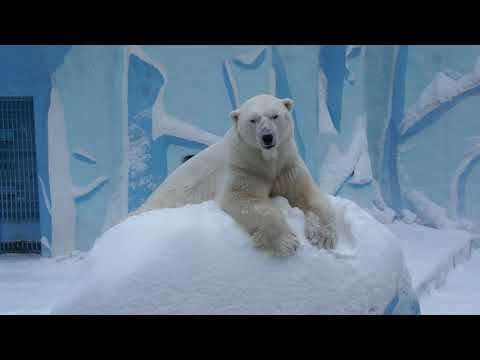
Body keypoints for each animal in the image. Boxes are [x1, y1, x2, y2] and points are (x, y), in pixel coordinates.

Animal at [133, 93, 338, 256]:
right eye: (253, 119)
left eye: (275, 116)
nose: (267, 137)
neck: (266, 162)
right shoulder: (243, 167)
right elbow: (245, 200)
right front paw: (287, 242)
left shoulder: (287, 165)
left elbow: (307, 195)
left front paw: (323, 238)